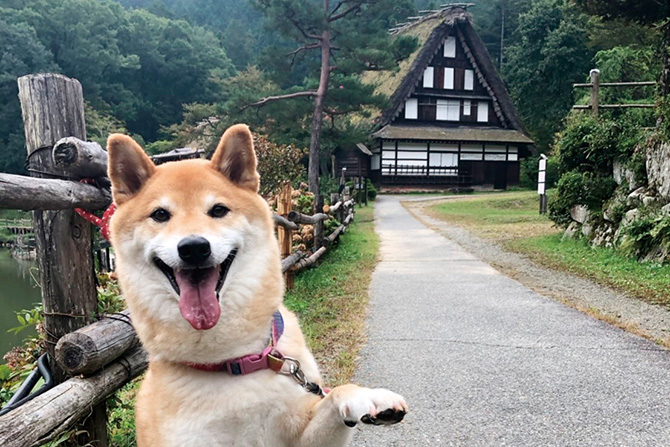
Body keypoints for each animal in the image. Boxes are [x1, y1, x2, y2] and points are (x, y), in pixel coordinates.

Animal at [109, 123, 410, 447]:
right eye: (160, 215)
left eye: (218, 210)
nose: (193, 247)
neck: (236, 361)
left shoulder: (301, 433)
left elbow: (335, 395)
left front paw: (368, 396)